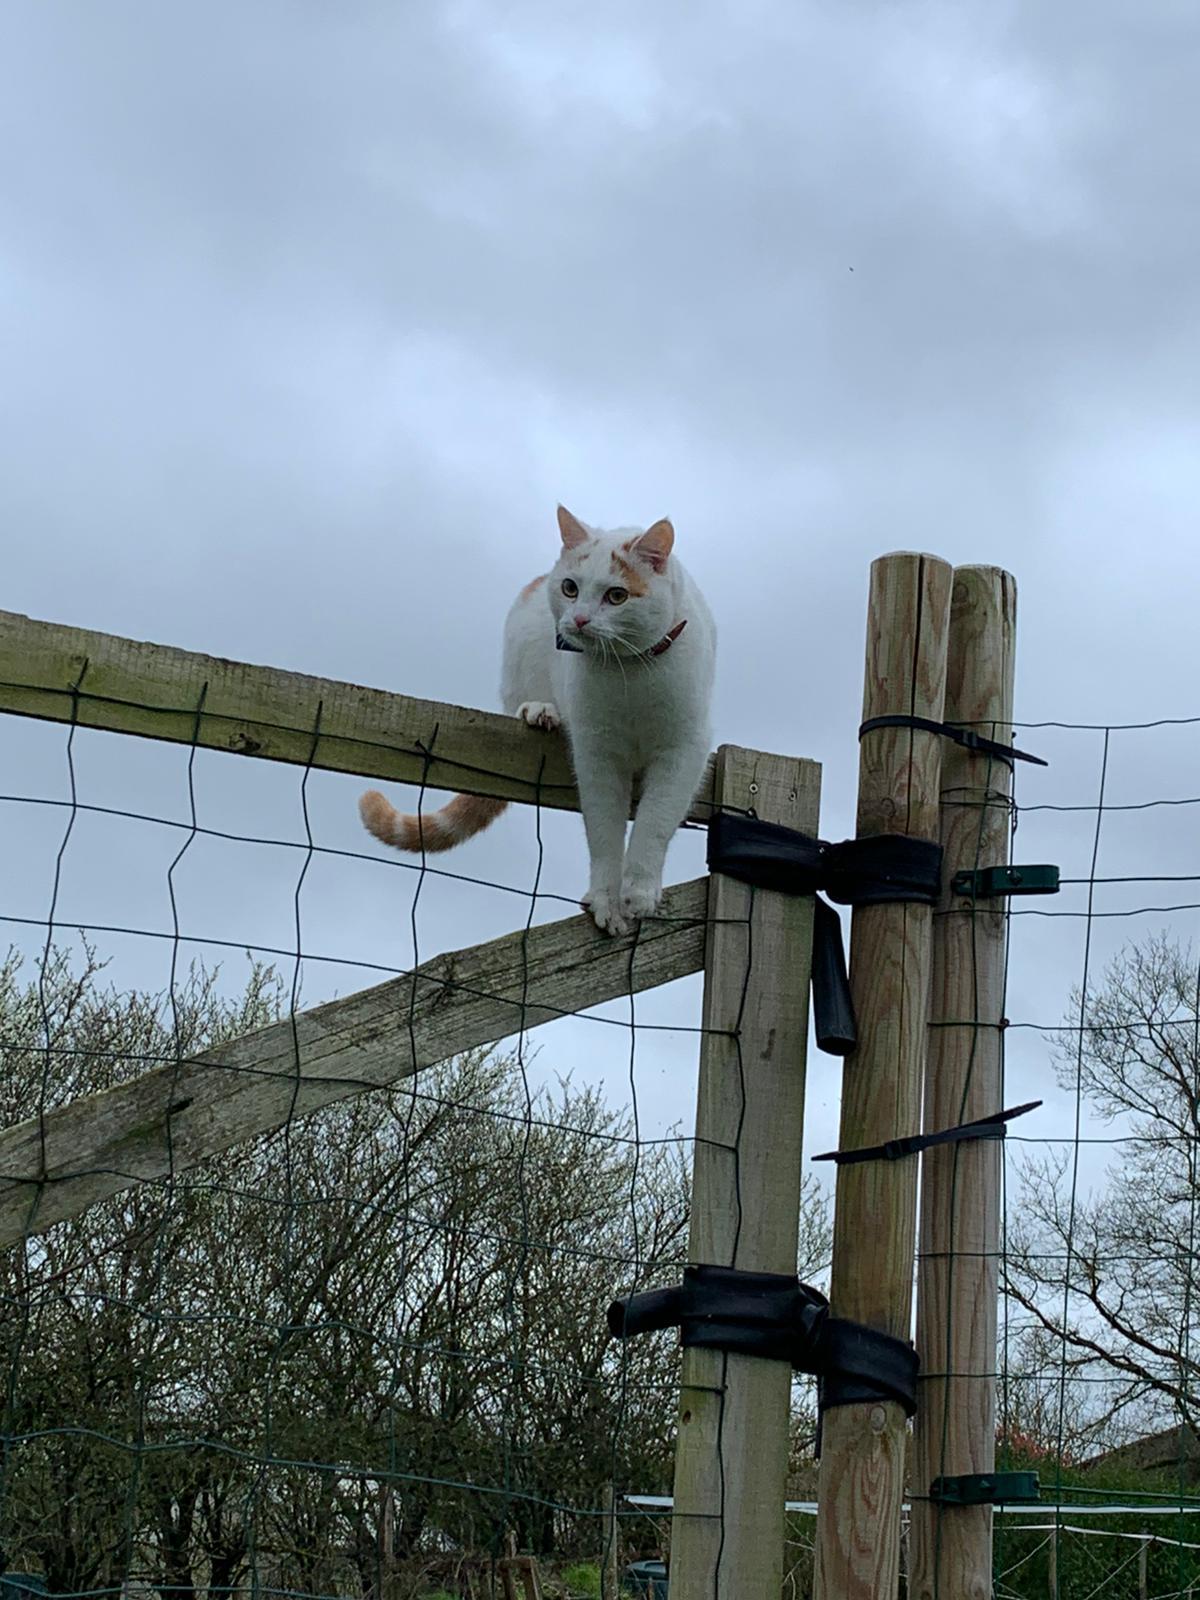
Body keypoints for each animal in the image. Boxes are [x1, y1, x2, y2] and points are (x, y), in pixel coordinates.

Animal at [360, 505, 713, 934]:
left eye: (617, 595)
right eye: (570, 588)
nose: (579, 620)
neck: (629, 672)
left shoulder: (684, 750)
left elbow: (655, 821)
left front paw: (640, 892)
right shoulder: (596, 754)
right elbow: (604, 831)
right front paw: (606, 900)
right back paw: (540, 710)